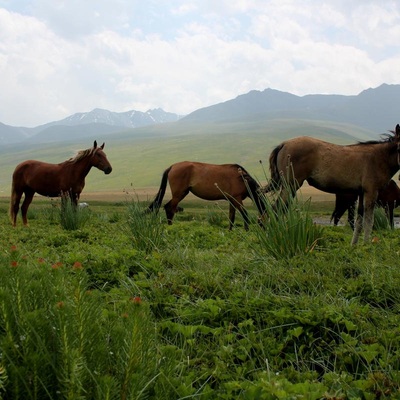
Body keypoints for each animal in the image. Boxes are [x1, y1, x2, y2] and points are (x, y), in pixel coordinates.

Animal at [264, 124, 400, 244]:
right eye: (399, 148)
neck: (378, 158)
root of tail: (284, 144)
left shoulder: (362, 193)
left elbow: (359, 221)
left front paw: (354, 246)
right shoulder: (371, 192)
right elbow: (369, 221)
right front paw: (367, 245)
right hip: (290, 186)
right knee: (276, 210)